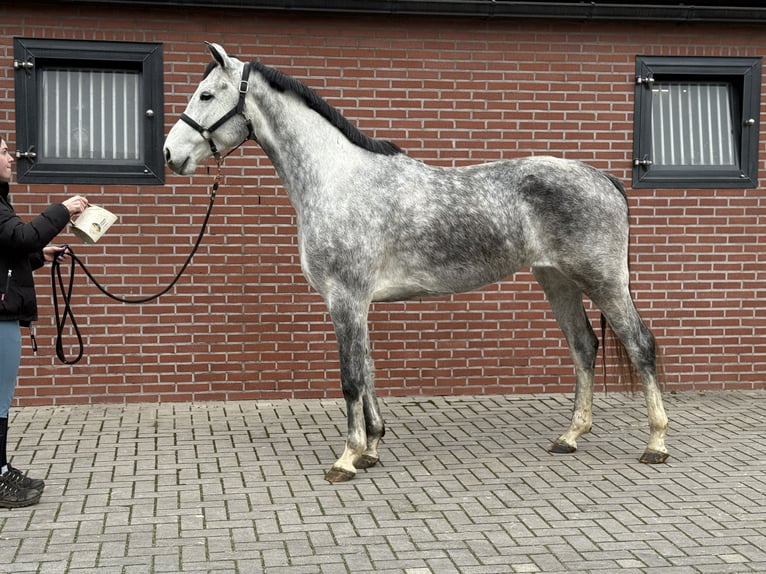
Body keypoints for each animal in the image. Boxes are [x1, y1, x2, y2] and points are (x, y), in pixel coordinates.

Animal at [164, 42, 669, 483]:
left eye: (206, 95)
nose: (171, 154)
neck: (338, 178)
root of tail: (602, 177)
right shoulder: (357, 302)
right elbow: (367, 370)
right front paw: (371, 447)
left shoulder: (345, 298)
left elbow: (351, 378)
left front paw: (347, 458)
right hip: (556, 280)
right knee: (583, 346)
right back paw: (570, 436)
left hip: (603, 280)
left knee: (640, 344)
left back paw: (656, 444)